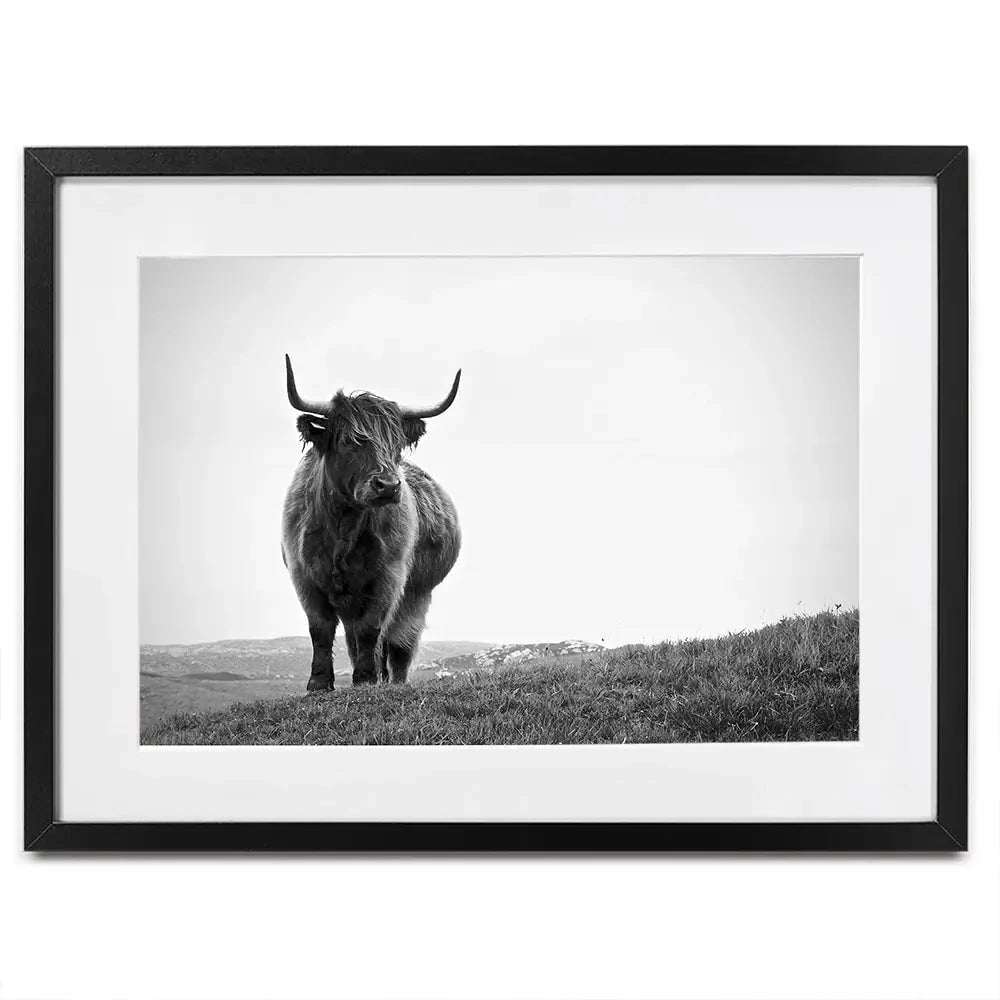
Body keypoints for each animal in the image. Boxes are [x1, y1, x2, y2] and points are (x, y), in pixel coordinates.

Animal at [280, 355, 462, 689]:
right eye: (348, 441)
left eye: (396, 445)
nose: (388, 486)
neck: (343, 525)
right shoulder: (304, 577)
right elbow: (320, 630)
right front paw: (319, 683)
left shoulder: (388, 578)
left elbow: (371, 630)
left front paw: (365, 680)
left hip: (417, 595)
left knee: (399, 644)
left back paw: (392, 681)